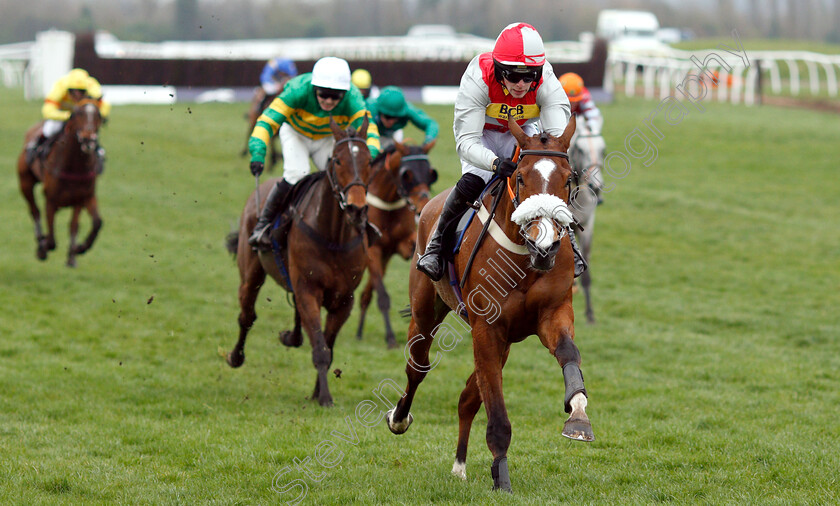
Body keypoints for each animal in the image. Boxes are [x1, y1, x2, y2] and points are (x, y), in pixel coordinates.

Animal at [16, 96, 104, 266]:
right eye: (78, 113)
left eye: (98, 115)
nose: (88, 139)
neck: (73, 166)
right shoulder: (51, 199)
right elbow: (51, 240)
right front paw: (42, 248)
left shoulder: (83, 197)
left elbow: (88, 224)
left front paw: (77, 251)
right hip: (25, 183)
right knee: (34, 210)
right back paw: (40, 240)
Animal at [230, 115, 374, 408]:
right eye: (337, 160)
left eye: (369, 160)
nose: (356, 209)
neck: (334, 236)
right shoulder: (309, 289)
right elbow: (320, 348)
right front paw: (325, 397)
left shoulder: (344, 299)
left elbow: (327, 346)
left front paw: (318, 392)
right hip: (251, 272)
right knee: (247, 315)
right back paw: (236, 356)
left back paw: (291, 337)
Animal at [354, 140, 440, 350]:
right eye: (406, 175)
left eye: (431, 173)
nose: (423, 207)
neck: (388, 206)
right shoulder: (373, 250)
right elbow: (383, 296)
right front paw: (391, 338)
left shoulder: (402, 245)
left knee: (367, 293)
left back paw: (359, 330)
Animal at [384, 115, 592, 490]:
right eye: (520, 176)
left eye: (568, 178)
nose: (545, 246)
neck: (525, 258)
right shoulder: (487, 329)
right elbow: (496, 412)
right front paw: (502, 480)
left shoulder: (552, 314)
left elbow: (569, 354)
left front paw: (579, 415)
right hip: (425, 310)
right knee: (417, 366)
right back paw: (400, 417)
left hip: (505, 342)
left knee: (468, 398)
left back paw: (459, 464)